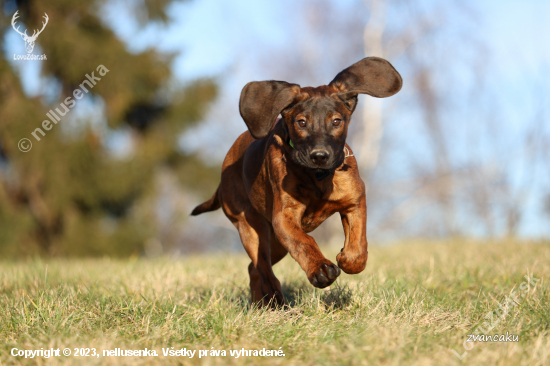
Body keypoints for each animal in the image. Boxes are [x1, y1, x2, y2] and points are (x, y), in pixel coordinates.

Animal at [192, 57, 404, 308]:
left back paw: (260, 304)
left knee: (254, 268)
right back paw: (275, 302)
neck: (318, 177)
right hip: (251, 228)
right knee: (264, 269)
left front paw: (347, 258)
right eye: (301, 123)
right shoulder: (284, 217)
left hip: (276, 243)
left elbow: (358, 245)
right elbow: (304, 242)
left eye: (336, 121)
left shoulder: (355, 201)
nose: (319, 156)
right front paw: (320, 268)